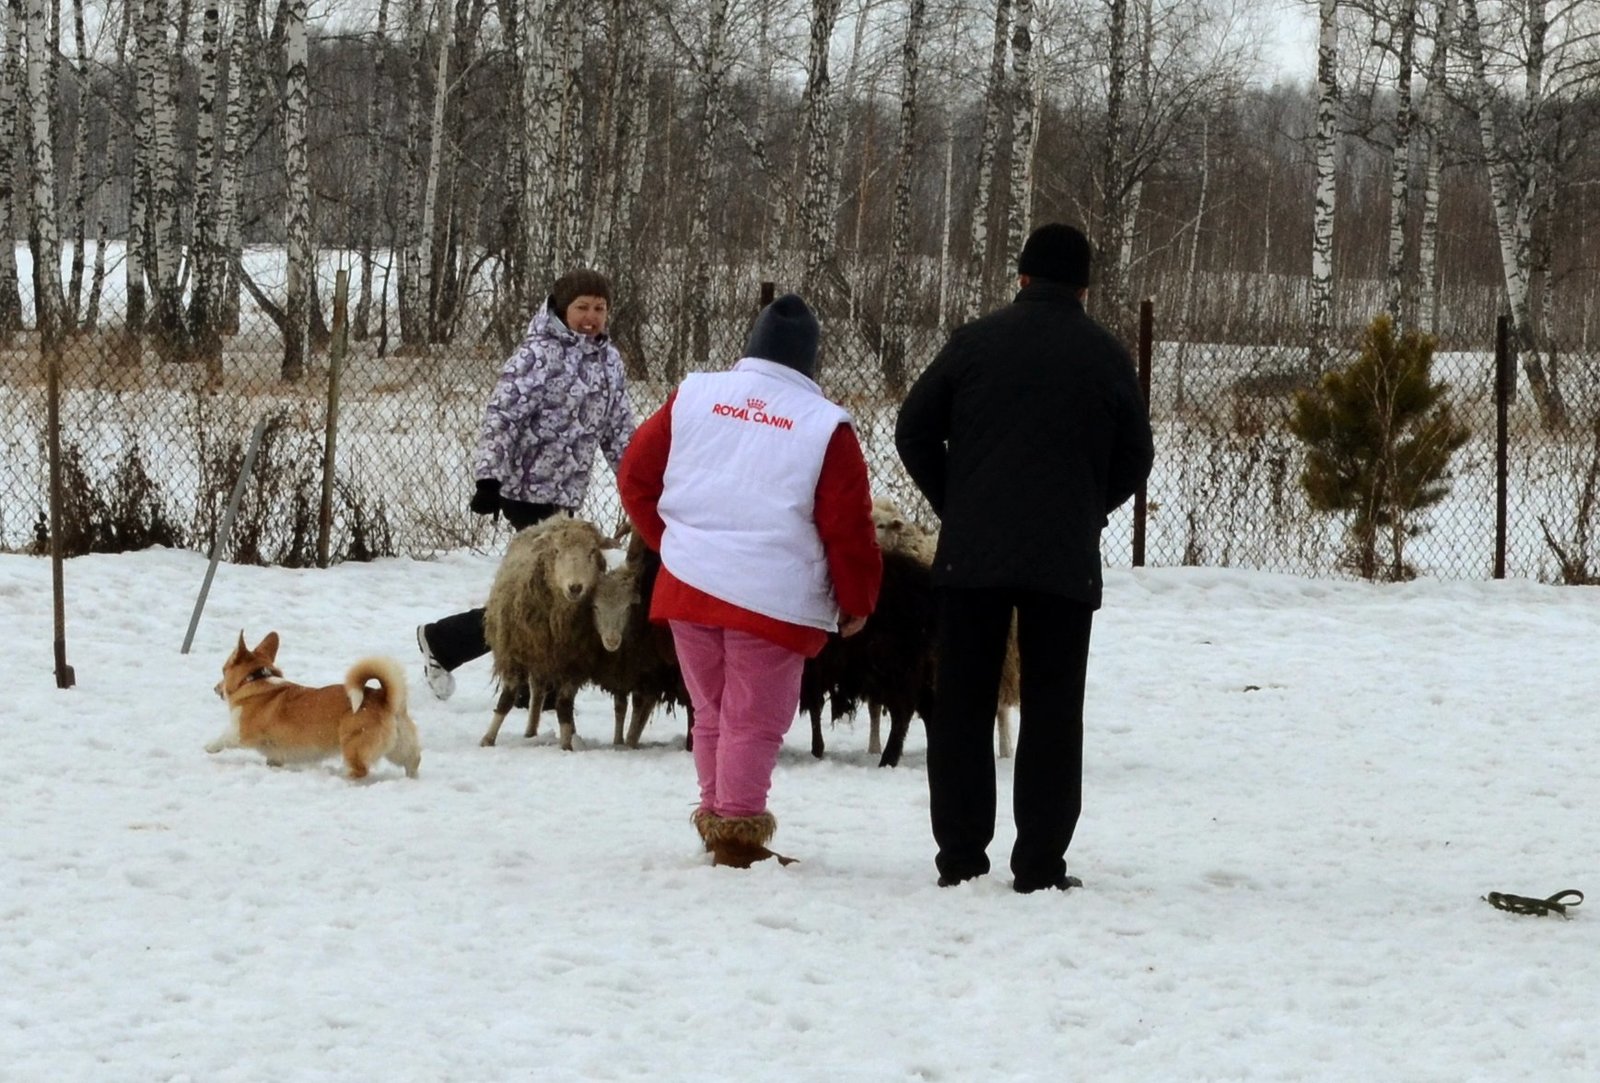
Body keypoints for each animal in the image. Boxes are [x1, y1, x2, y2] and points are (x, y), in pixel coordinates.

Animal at [206, 633, 419, 777]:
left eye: (223, 670)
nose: (215, 688)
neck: (256, 679)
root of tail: (384, 698)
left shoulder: (240, 733)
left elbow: (223, 738)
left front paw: (208, 747)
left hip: (353, 746)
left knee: (360, 771)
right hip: (400, 750)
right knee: (412, 763)